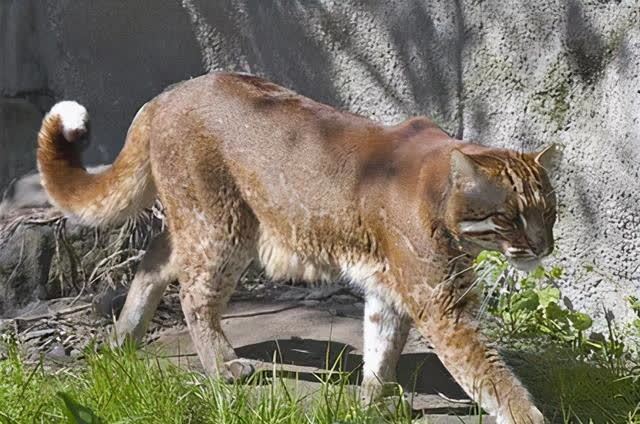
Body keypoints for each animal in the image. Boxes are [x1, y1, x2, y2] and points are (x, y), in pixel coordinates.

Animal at [37, 71, 556, 422]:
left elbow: (382, 342)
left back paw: (123, 339)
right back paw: (222, 366)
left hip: (202, 219)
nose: (543, 247)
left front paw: (374, 399)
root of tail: (168, 93)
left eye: (549, 212)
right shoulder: (442, 306)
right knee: (193, 293)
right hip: (222, 227)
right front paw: (528, 415)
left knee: (155, 262)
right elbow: (488, 374)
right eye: (510, 217)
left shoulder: (390, 289)